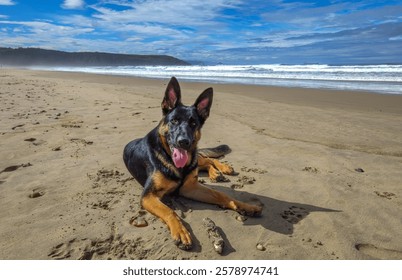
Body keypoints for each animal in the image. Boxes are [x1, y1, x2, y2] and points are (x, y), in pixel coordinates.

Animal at [122, 77, 262, 249]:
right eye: (174, 121)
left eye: (193, 123)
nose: (184, 142)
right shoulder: (148, 196)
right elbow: (169, 210)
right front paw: (180, 231)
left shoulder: (191, 188)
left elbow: (221, 195)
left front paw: (245, 206)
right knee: (205, 162)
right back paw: (215, 173)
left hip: (196, 157)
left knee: (208, 159)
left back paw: (221, 169)